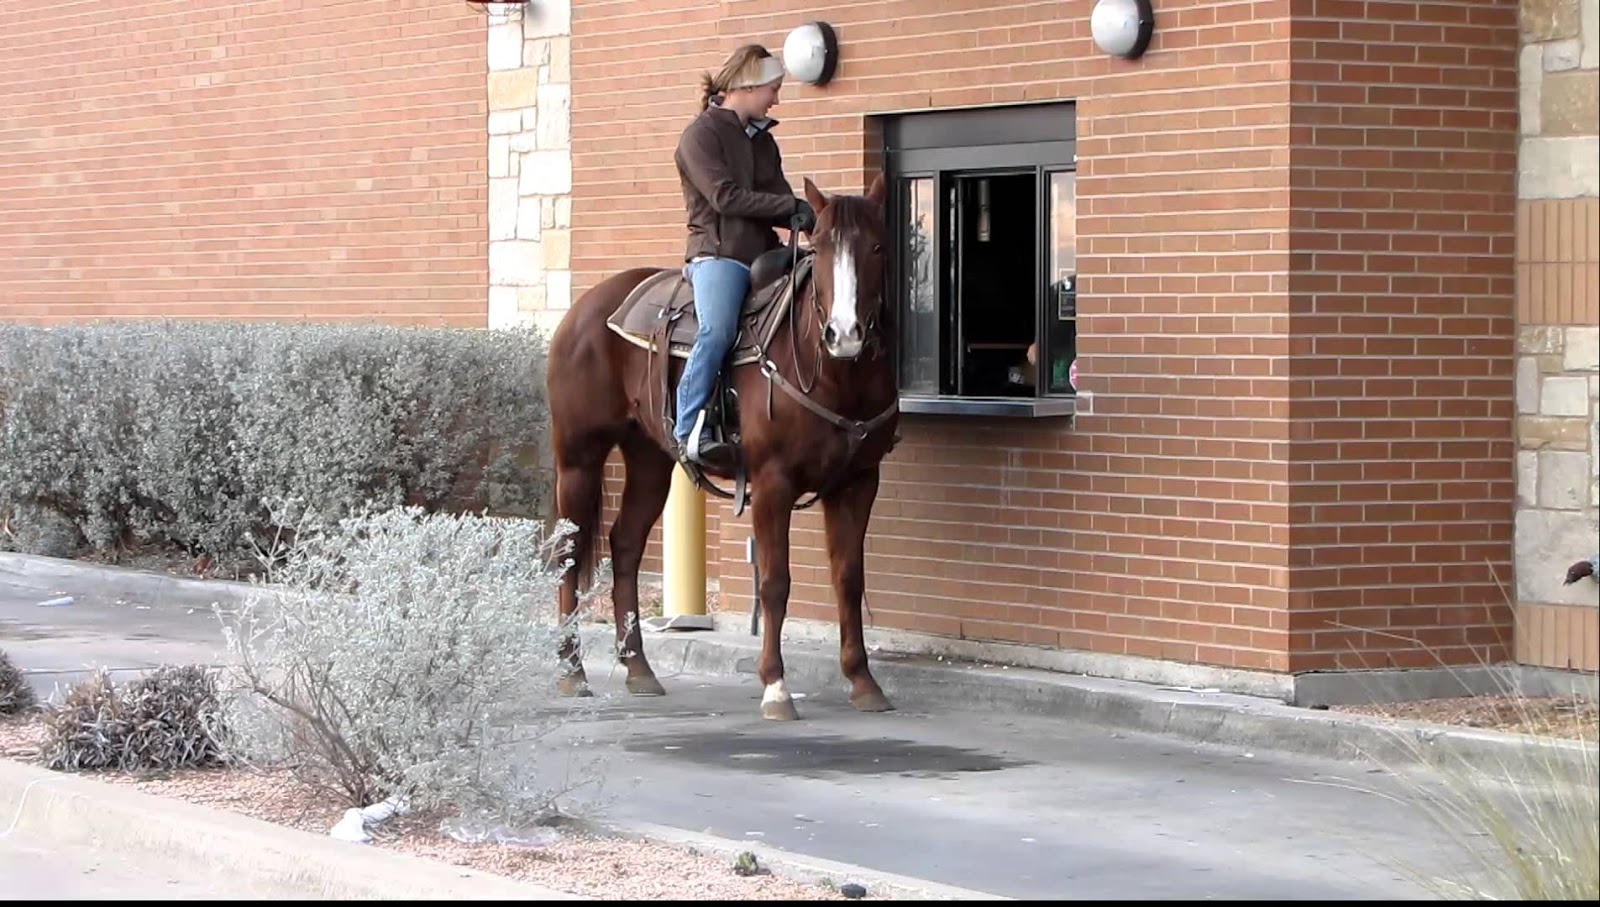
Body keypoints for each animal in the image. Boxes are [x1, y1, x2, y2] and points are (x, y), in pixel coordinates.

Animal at [543, 172, 899, 721]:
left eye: (877, 247)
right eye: (818, 246)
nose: (845, 334)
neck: (834, 374)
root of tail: (587, 307)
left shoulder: (859, 482)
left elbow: (848, 579)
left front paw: (863, 681)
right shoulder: (773, 483)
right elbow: (775, 582)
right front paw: (775, 686)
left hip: (649, 461)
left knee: (625, 546)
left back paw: (639, 669)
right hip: (579, 456)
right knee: (568, 551)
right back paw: (572, 670)